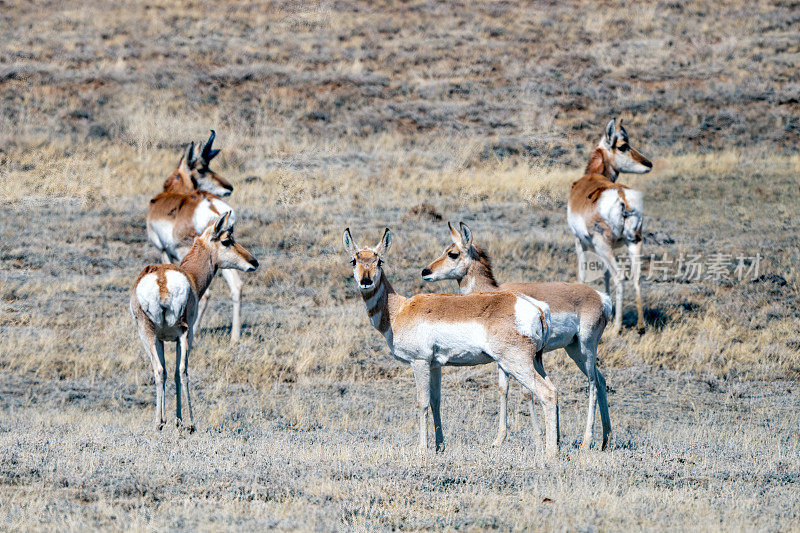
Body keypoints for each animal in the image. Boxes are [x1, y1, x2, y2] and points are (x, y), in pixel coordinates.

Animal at [130, 210, 258, 430]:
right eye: (226, 240)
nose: (253, 262)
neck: (190, 274)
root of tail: (162, 280)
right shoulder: (183, 336)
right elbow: (178, 371)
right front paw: (181, 421)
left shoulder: (161, 340)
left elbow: (166, 372)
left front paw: (171, 419)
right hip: (184, 334)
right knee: (183, 371)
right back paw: (190, 424)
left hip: (147, 335)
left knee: (158, 370)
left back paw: (158, 423)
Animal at [147, 131, 245, 342]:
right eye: (202, 168)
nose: (229, 187)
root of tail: (214, 206)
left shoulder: (164, 251)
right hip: (224, 257)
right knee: (237, 285)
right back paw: (235, 337)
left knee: (206, 293)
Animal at [346, 227, 564, 456]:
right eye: (354, 260)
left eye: (379, 261)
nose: (366, 281)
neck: (400, 309)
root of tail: (535, 307)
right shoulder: (435, 366)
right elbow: (435, 402)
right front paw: (439, 446)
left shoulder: (419, 362)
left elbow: (422, 403)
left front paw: (422, 449)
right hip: (535, 361)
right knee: (554, 390)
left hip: (516, 363)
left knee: (547, 393)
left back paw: (550, 454)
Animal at [418, 220, 612, 448]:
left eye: (453, 253)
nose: (425, 271)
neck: (491, 291)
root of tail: (600, 297)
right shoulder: (503, 359)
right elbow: (504, 389)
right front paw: (500, 439)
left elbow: (527, 391)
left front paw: (538, 436)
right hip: (574, 351)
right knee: (601, 380)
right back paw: (605, 439)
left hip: (585, 348)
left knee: (593, 384)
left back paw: (586, 441)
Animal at [568, 119, 648, 332]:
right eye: (623, 145)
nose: (648, 163)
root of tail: (621, 196)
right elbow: (604, 274)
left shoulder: (580, 242)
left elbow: (582, 273)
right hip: (633, 243)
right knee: (636, 276)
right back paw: (640, 325)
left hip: (604, 246)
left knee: (619, 277)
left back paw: (617, 327)